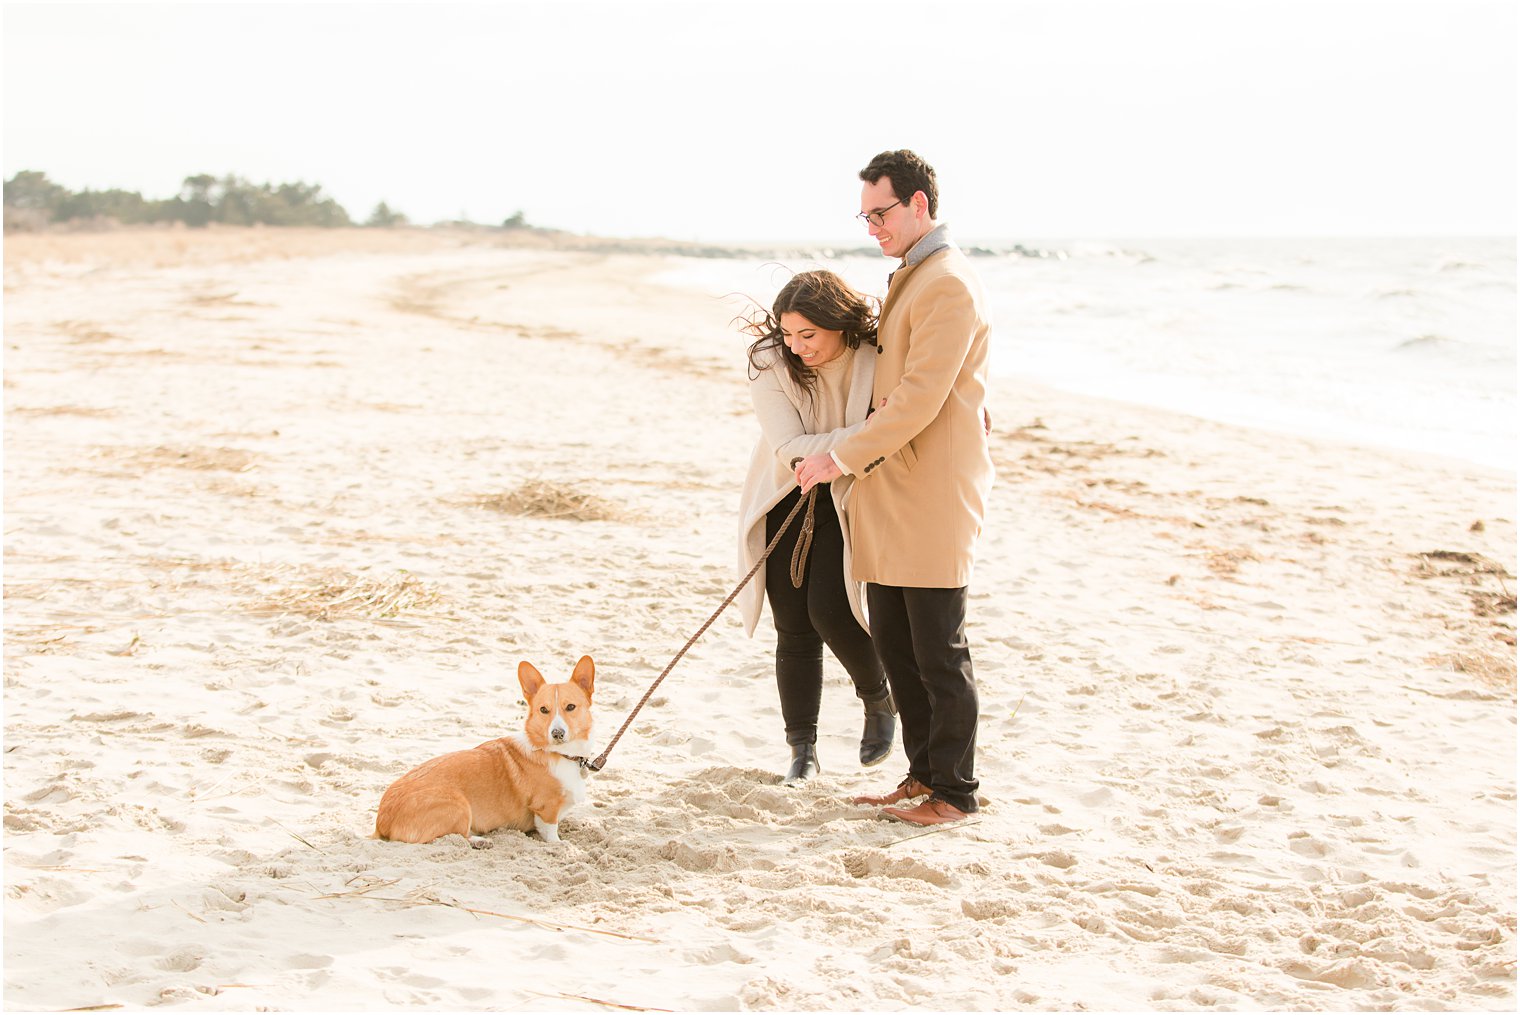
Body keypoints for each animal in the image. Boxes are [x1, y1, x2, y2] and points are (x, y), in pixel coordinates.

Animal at [376, 653, 595, 844]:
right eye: (543, 710)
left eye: (570, 707)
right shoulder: (546, 808)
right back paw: (479, 841)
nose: (557, 733)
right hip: (459, 804)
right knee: (451, 837)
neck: (561, 754)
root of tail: (382, 823)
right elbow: (551, 833)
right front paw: (561, 844)